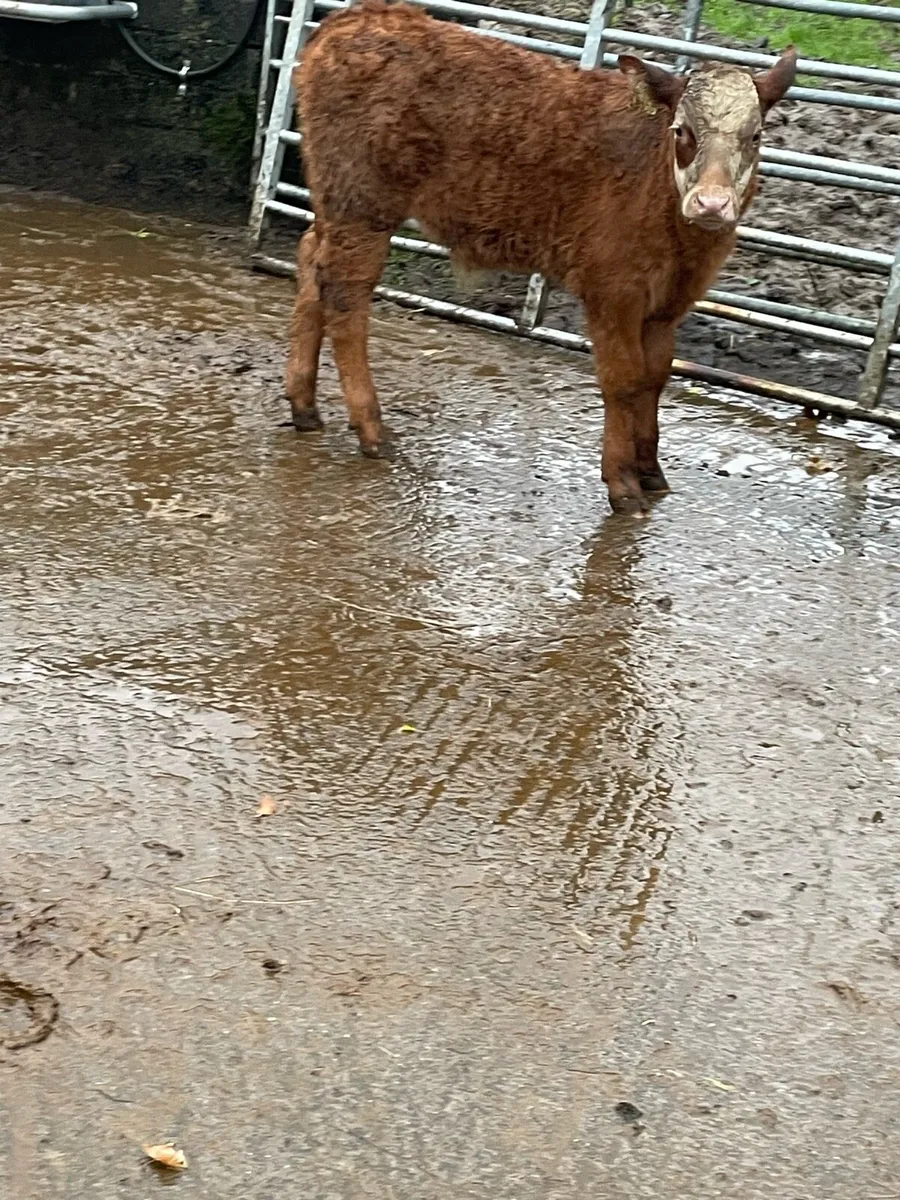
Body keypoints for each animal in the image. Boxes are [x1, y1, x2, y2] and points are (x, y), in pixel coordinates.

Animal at [284, 0, 796, 514]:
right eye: (682, 131)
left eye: (755, 136)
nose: (712, 204)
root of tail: (363, 16)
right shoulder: (613, 291)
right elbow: (624, 380)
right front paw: (623, 481)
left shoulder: (669, 304)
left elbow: (655, 378)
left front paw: (651, 469)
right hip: (363, 206)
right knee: (346, 296)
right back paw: (371, 427)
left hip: (335, 203)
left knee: (311, 261)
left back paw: (304, 403)